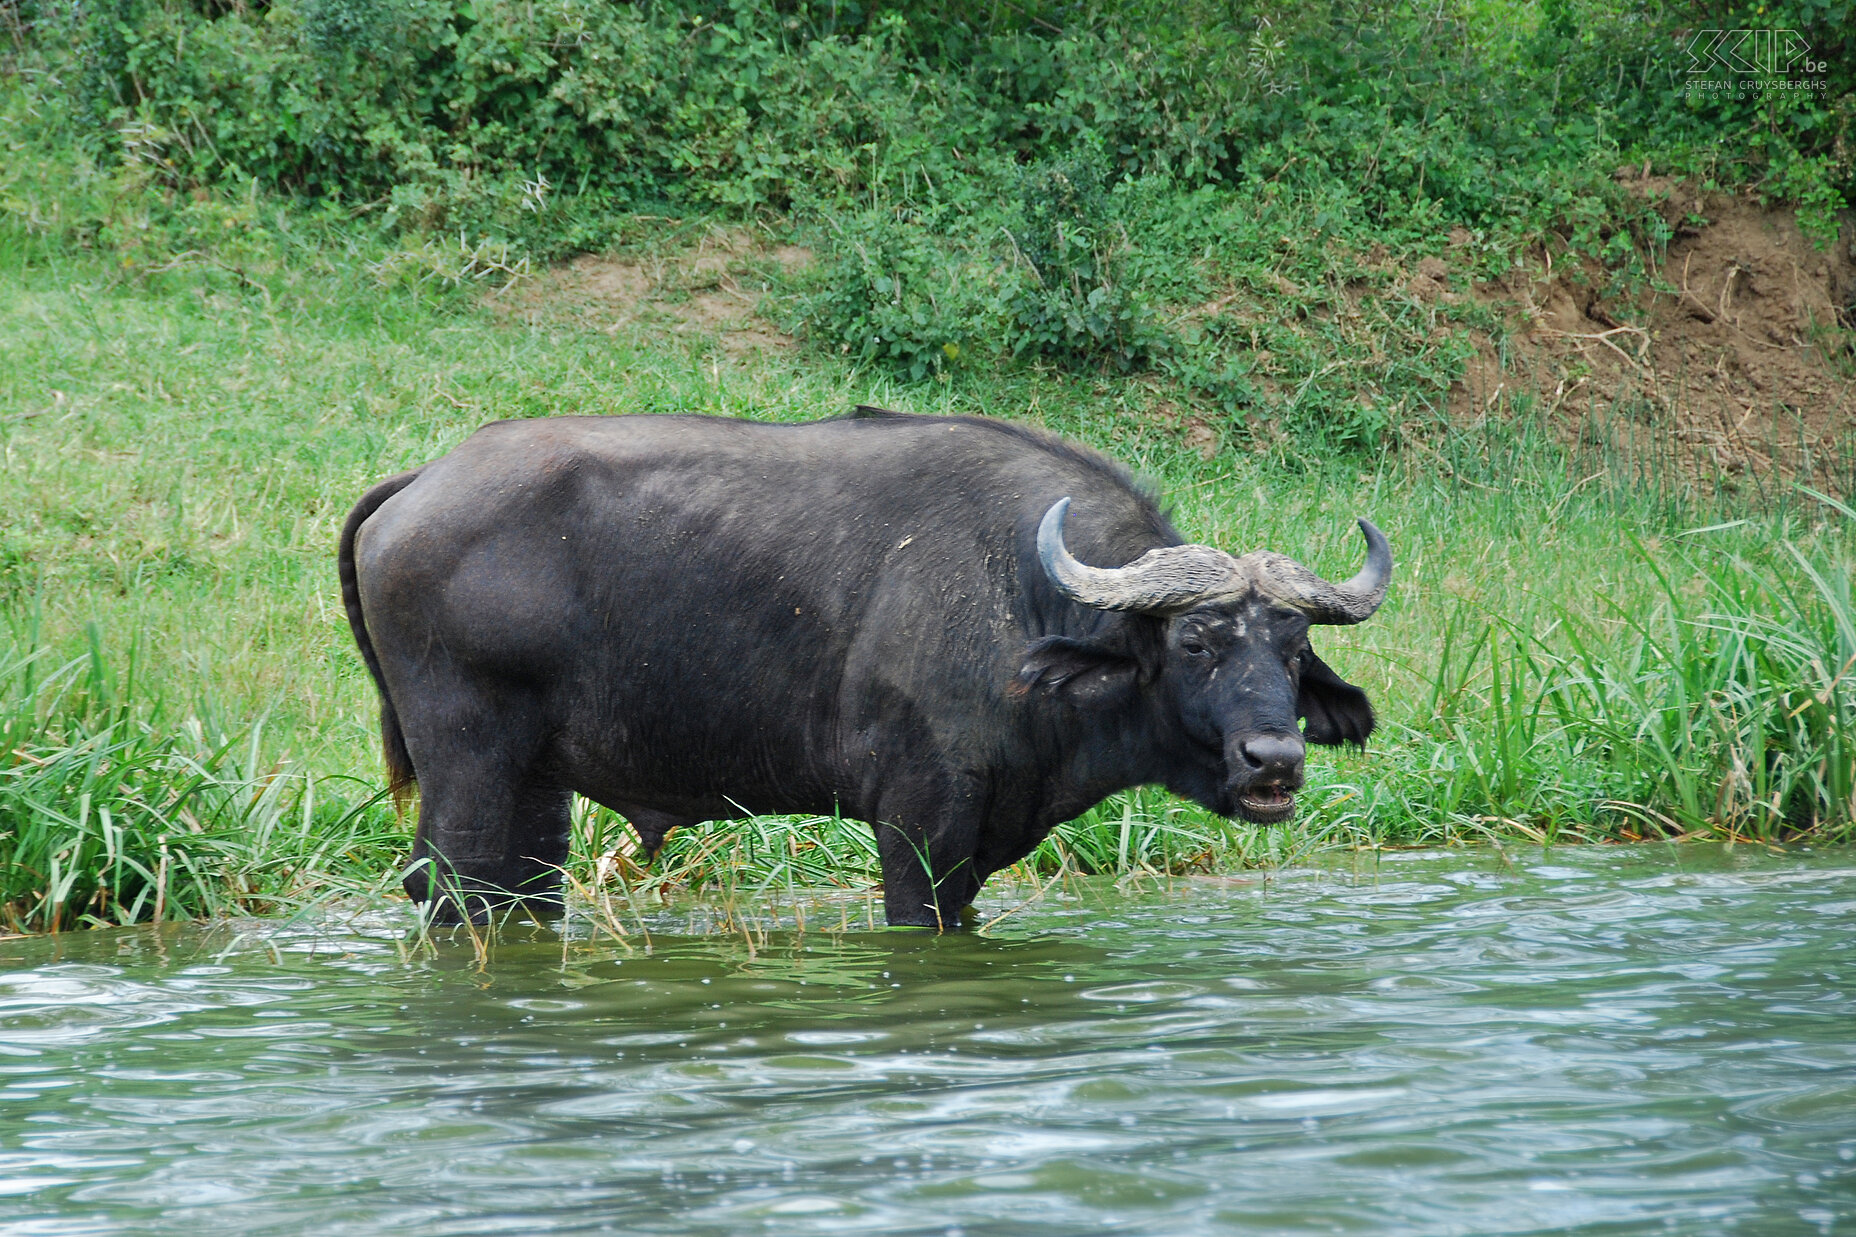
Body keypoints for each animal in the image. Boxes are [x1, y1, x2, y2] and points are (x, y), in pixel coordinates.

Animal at [337, 406, 1395, 924]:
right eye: (1195, 641)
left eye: (1294, 649)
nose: (1274, 761)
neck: (1022, 594)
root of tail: (424, 481)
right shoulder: (918, 830)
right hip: (469, 763)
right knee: (445, 884)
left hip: (536, 786)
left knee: (517, 891)